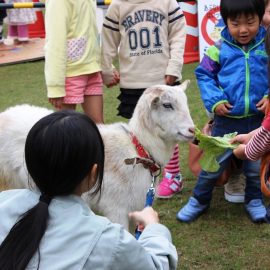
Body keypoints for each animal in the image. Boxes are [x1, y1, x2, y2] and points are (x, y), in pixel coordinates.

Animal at [0, 80, 194, 230]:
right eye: (167, 105)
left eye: (185, 102)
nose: (192, 130)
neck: (139, 149)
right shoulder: (116, 209)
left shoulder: (134, 207)